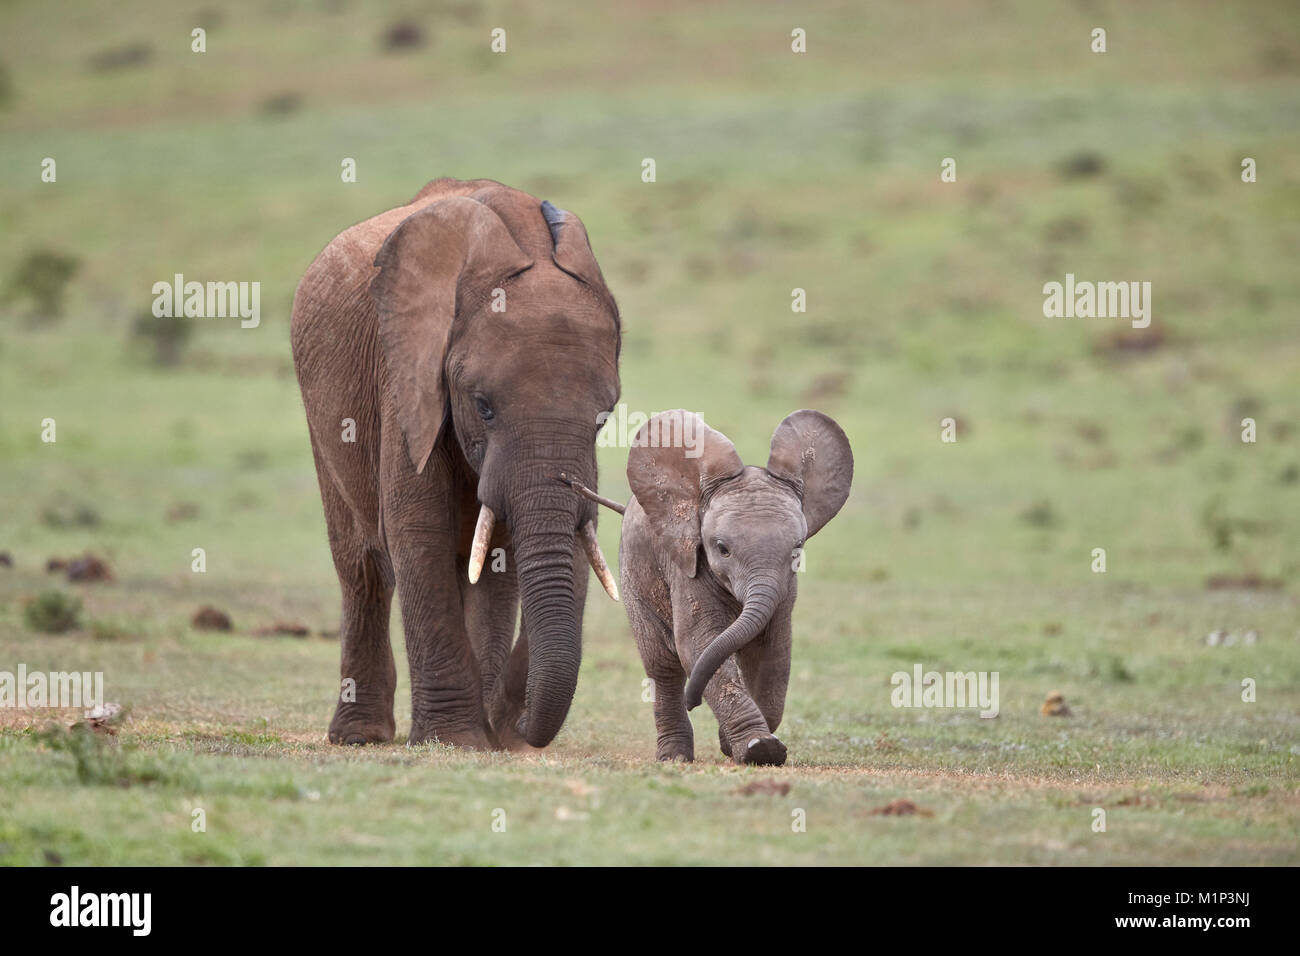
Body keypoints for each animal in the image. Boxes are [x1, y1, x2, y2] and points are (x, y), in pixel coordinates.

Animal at [291, 175, 624, 749]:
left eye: (605, 417)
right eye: (483, 406)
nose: (517, 730)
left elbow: (505, 552)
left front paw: (489, 738)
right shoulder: (405, 379)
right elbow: (416, 528)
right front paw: (455, 742)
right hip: (322, 412)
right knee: (361, 566)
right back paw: (361, 737)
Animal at [616, 408, 852, 764]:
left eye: (797, 549)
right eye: (722, 548)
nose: (693, 701)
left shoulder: (786, 587)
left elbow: (773, 653)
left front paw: (738, 744)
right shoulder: (687, 566)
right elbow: (698, 644)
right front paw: (759, 748)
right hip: (633, 575)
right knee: (662, 665)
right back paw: (674, 757)